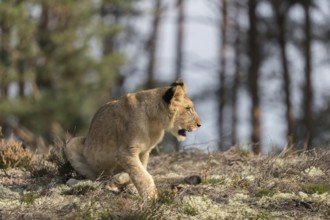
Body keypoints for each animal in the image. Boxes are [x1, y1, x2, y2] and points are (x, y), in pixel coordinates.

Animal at [65, 80, 201, 199]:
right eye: (188, 108)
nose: (199, 124)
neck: (155, 123)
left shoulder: (145, 152)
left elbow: (140, 172)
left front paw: (128, 184)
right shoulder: (126, 151)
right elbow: (142, 175)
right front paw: (152, 197)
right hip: (72, 144)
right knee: (97, 180)